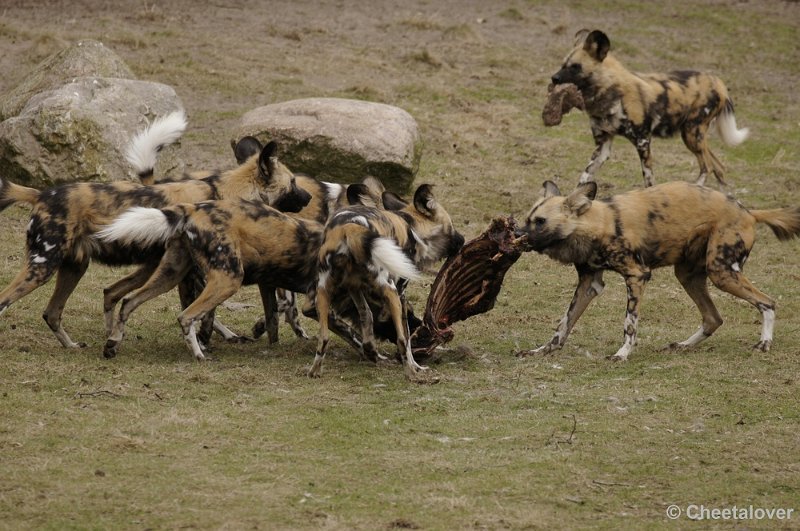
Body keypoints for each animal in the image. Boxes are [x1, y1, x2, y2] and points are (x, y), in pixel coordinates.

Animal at [0, 111, 310, 350]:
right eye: (293, 183)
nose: (308, 197)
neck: (226, 191)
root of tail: (40, 194)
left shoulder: (186, 272)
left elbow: (201, 311)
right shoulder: (193, 275)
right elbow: (203, 312)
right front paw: (204, 342)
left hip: (75, 267)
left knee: (54, 312)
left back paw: (75, 345)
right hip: (42, 267)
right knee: (7, 300)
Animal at [310, 185, 466, 380]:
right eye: (451, 225)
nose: (463, 239)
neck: (412, 228)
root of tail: (349, 227)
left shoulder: (354, 287)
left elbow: (366, 315)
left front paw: (370, 348)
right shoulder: (401, 294)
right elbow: (407, 338)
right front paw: (416, 366)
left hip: (322, 292)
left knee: (323, 338)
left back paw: (315, 371)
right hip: (390, 290)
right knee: (401, 339)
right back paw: (411, 374)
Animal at [512, 180, 800, 362]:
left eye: (540, 222)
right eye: (527, 219)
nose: (515, 234)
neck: (596, 225)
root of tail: (749, 212)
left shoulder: (637, 275)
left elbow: (629, 325)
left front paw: (622, 354)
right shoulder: (589, 283)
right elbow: (563, 324)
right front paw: (542, 351)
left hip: (721, 272)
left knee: (767, 302)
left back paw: (764, 343)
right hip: (689, 275)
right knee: (713, 318)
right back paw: (682, 345)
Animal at [552, 29, 748, 188]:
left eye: (575, 67)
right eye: (562, 65)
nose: (554, 78)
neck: (610, 92)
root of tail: (719, 82)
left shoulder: (643, 141)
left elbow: (648, 179)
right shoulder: (603, 146)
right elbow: (584, 177)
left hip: (692, 134)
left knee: (707, 166)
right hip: (694, 138)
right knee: (718, 167)